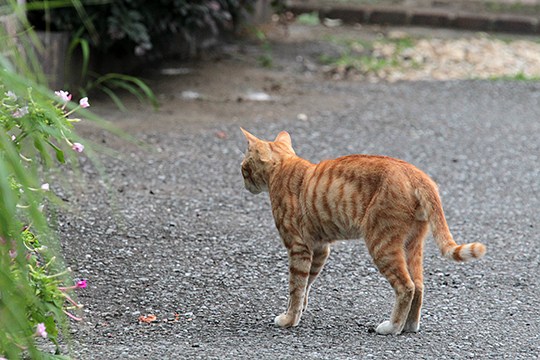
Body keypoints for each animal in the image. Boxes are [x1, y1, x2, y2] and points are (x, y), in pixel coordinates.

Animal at [240, 129, 486, 334]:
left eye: (243, 169)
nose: (244, 184)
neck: (283, 168)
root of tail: (417, 174)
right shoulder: (319, 248)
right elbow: (307, 284)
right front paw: (299, 311)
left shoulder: (299, 247)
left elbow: (296, 285)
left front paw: (289, 319)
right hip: (412, 245)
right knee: (418, 285)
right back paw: (409, 326)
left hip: (382, 244)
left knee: (406, 287)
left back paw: (393, 327)